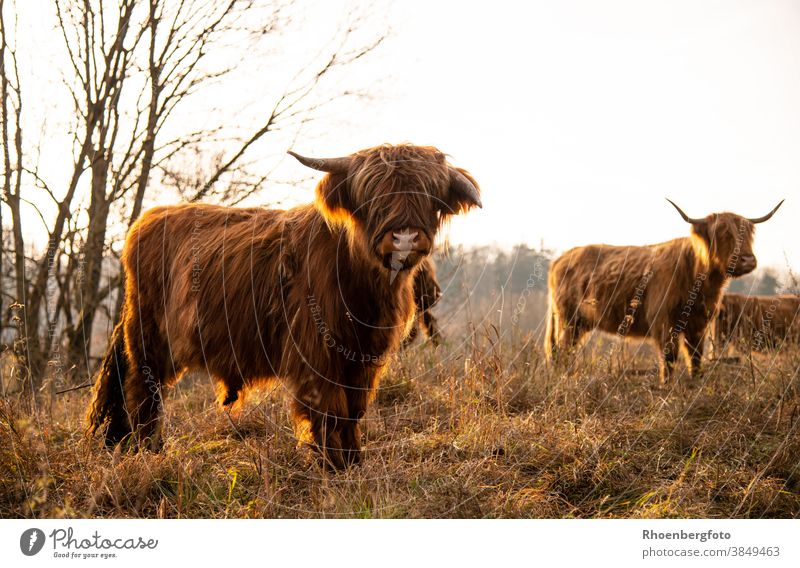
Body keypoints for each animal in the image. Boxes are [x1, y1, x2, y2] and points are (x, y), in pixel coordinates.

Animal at [86, 144, 482, 468]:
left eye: (430, 193)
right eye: (372, 195)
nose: (404, 237)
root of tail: (147, 219)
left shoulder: (363, 358)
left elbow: (353, 410)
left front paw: (353, 461)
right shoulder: (317, 351)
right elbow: (329, 409)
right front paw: (332, 465)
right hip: (148, 335)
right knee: (143, 389)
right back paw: (148, 449)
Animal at [544, 200, 780, 382]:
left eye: (748, 234)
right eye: (722, 233)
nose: (748, 260)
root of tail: (561, 259)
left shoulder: (699, 323)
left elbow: (695, 355)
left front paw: (696, 381)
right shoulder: (663, 320)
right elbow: (670, 356)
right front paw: (667, 385)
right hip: (569, 319)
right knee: (564, 350)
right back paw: (564, 378)